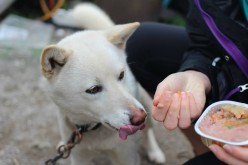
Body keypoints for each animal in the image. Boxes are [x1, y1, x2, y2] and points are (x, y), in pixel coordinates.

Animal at [40, 2, 166, 165]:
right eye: (93, 89)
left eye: (121, 75)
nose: (139, 117)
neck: (92, 128)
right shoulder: (79, 157)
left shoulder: (127, 155)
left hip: (147, 105)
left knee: (148, 130)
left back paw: (154, 151)